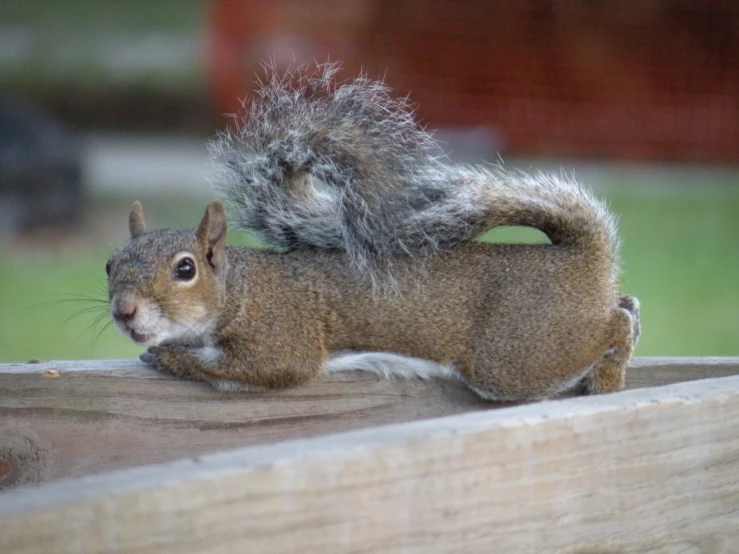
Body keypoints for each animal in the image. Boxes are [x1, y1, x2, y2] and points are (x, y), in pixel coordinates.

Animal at [105, 63, 640, 402]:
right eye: (110, 265)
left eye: (185, 269)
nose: (123, 310)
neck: (241, 290)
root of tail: (584, 257)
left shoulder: (282, 336)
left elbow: (259, 368)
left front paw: (171, 359)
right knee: (625, 307)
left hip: (519, 353)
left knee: (611, 324)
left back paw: (610, 367)